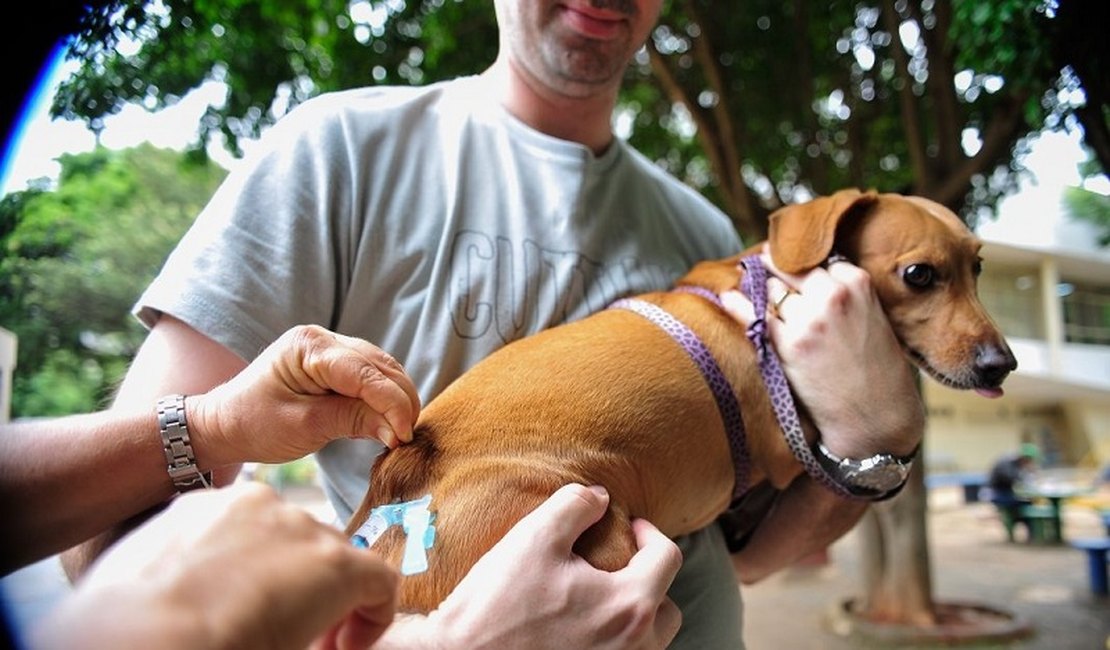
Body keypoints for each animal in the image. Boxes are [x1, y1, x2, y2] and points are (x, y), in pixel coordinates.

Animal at [344, 186, 1016, 607]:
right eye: (919, 275)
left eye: (979, 267)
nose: (1002, 363)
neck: (764, 294)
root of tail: (405, 471)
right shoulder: (788, 452)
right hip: (598, 537)